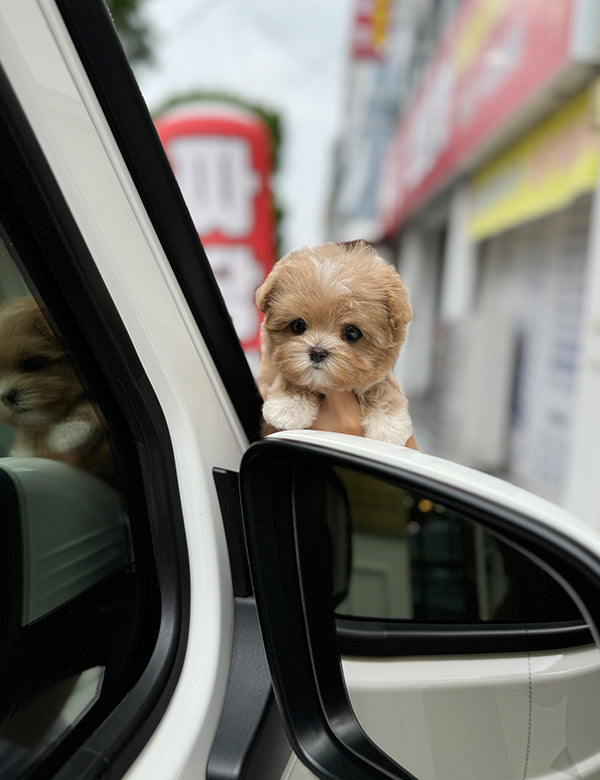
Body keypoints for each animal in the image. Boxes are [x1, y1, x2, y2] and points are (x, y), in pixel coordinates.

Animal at [255, 238, 414, 444]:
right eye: (298, 326)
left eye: (352, 333)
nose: (317, 352)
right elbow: (293, 377)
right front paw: (289, 405)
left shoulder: (379, 375)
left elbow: (379, 385)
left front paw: (389, 424)